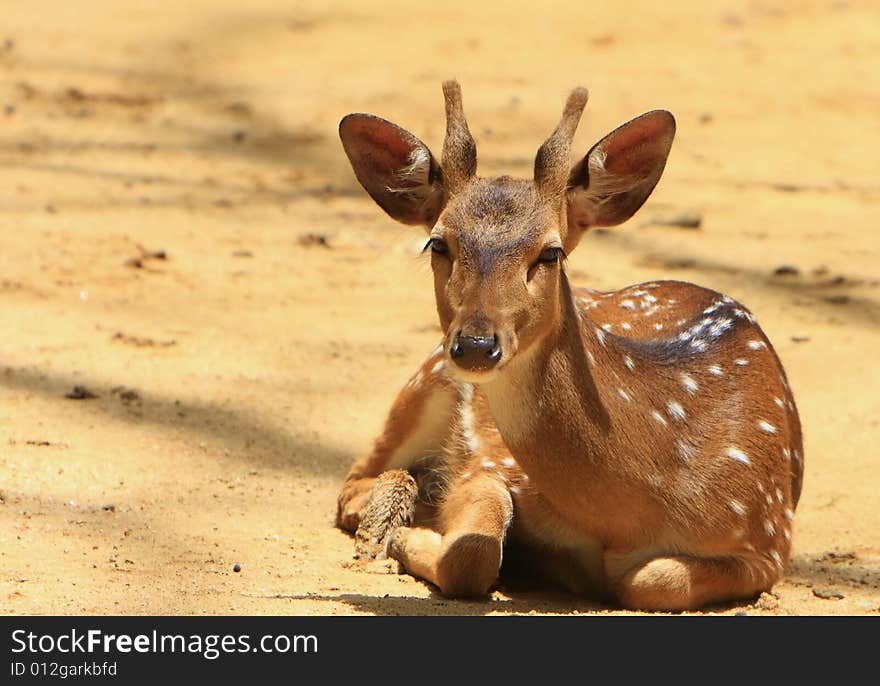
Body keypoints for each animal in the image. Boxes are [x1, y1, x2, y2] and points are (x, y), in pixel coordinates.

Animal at [336, 82, 804, 612]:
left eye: (551, 251)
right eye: (438, 244)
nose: (476, 345)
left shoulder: (767, 536)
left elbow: (649, 581)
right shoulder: (489, 460)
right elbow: (473, 554)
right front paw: (411, 536)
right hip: (427, 375)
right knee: (355, 482)